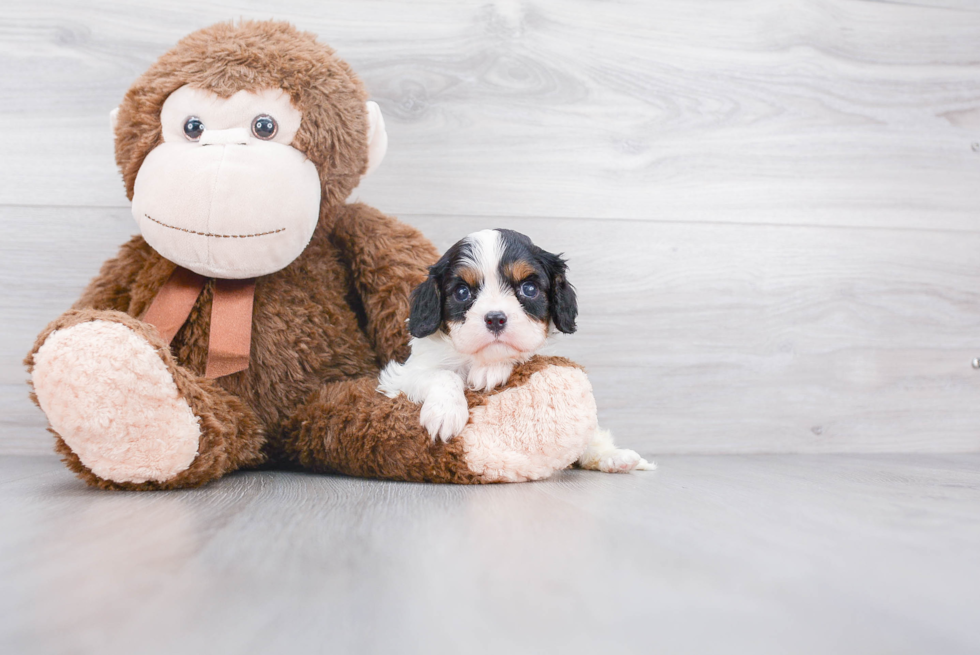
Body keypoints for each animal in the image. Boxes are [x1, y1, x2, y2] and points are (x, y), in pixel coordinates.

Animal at [378, 228, 656, 474]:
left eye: (529, 289)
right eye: (462, 292)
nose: (495, 318)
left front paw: (490, 371)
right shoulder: (401, 376)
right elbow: (442, 375)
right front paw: (446, 412)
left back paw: (613, 456)